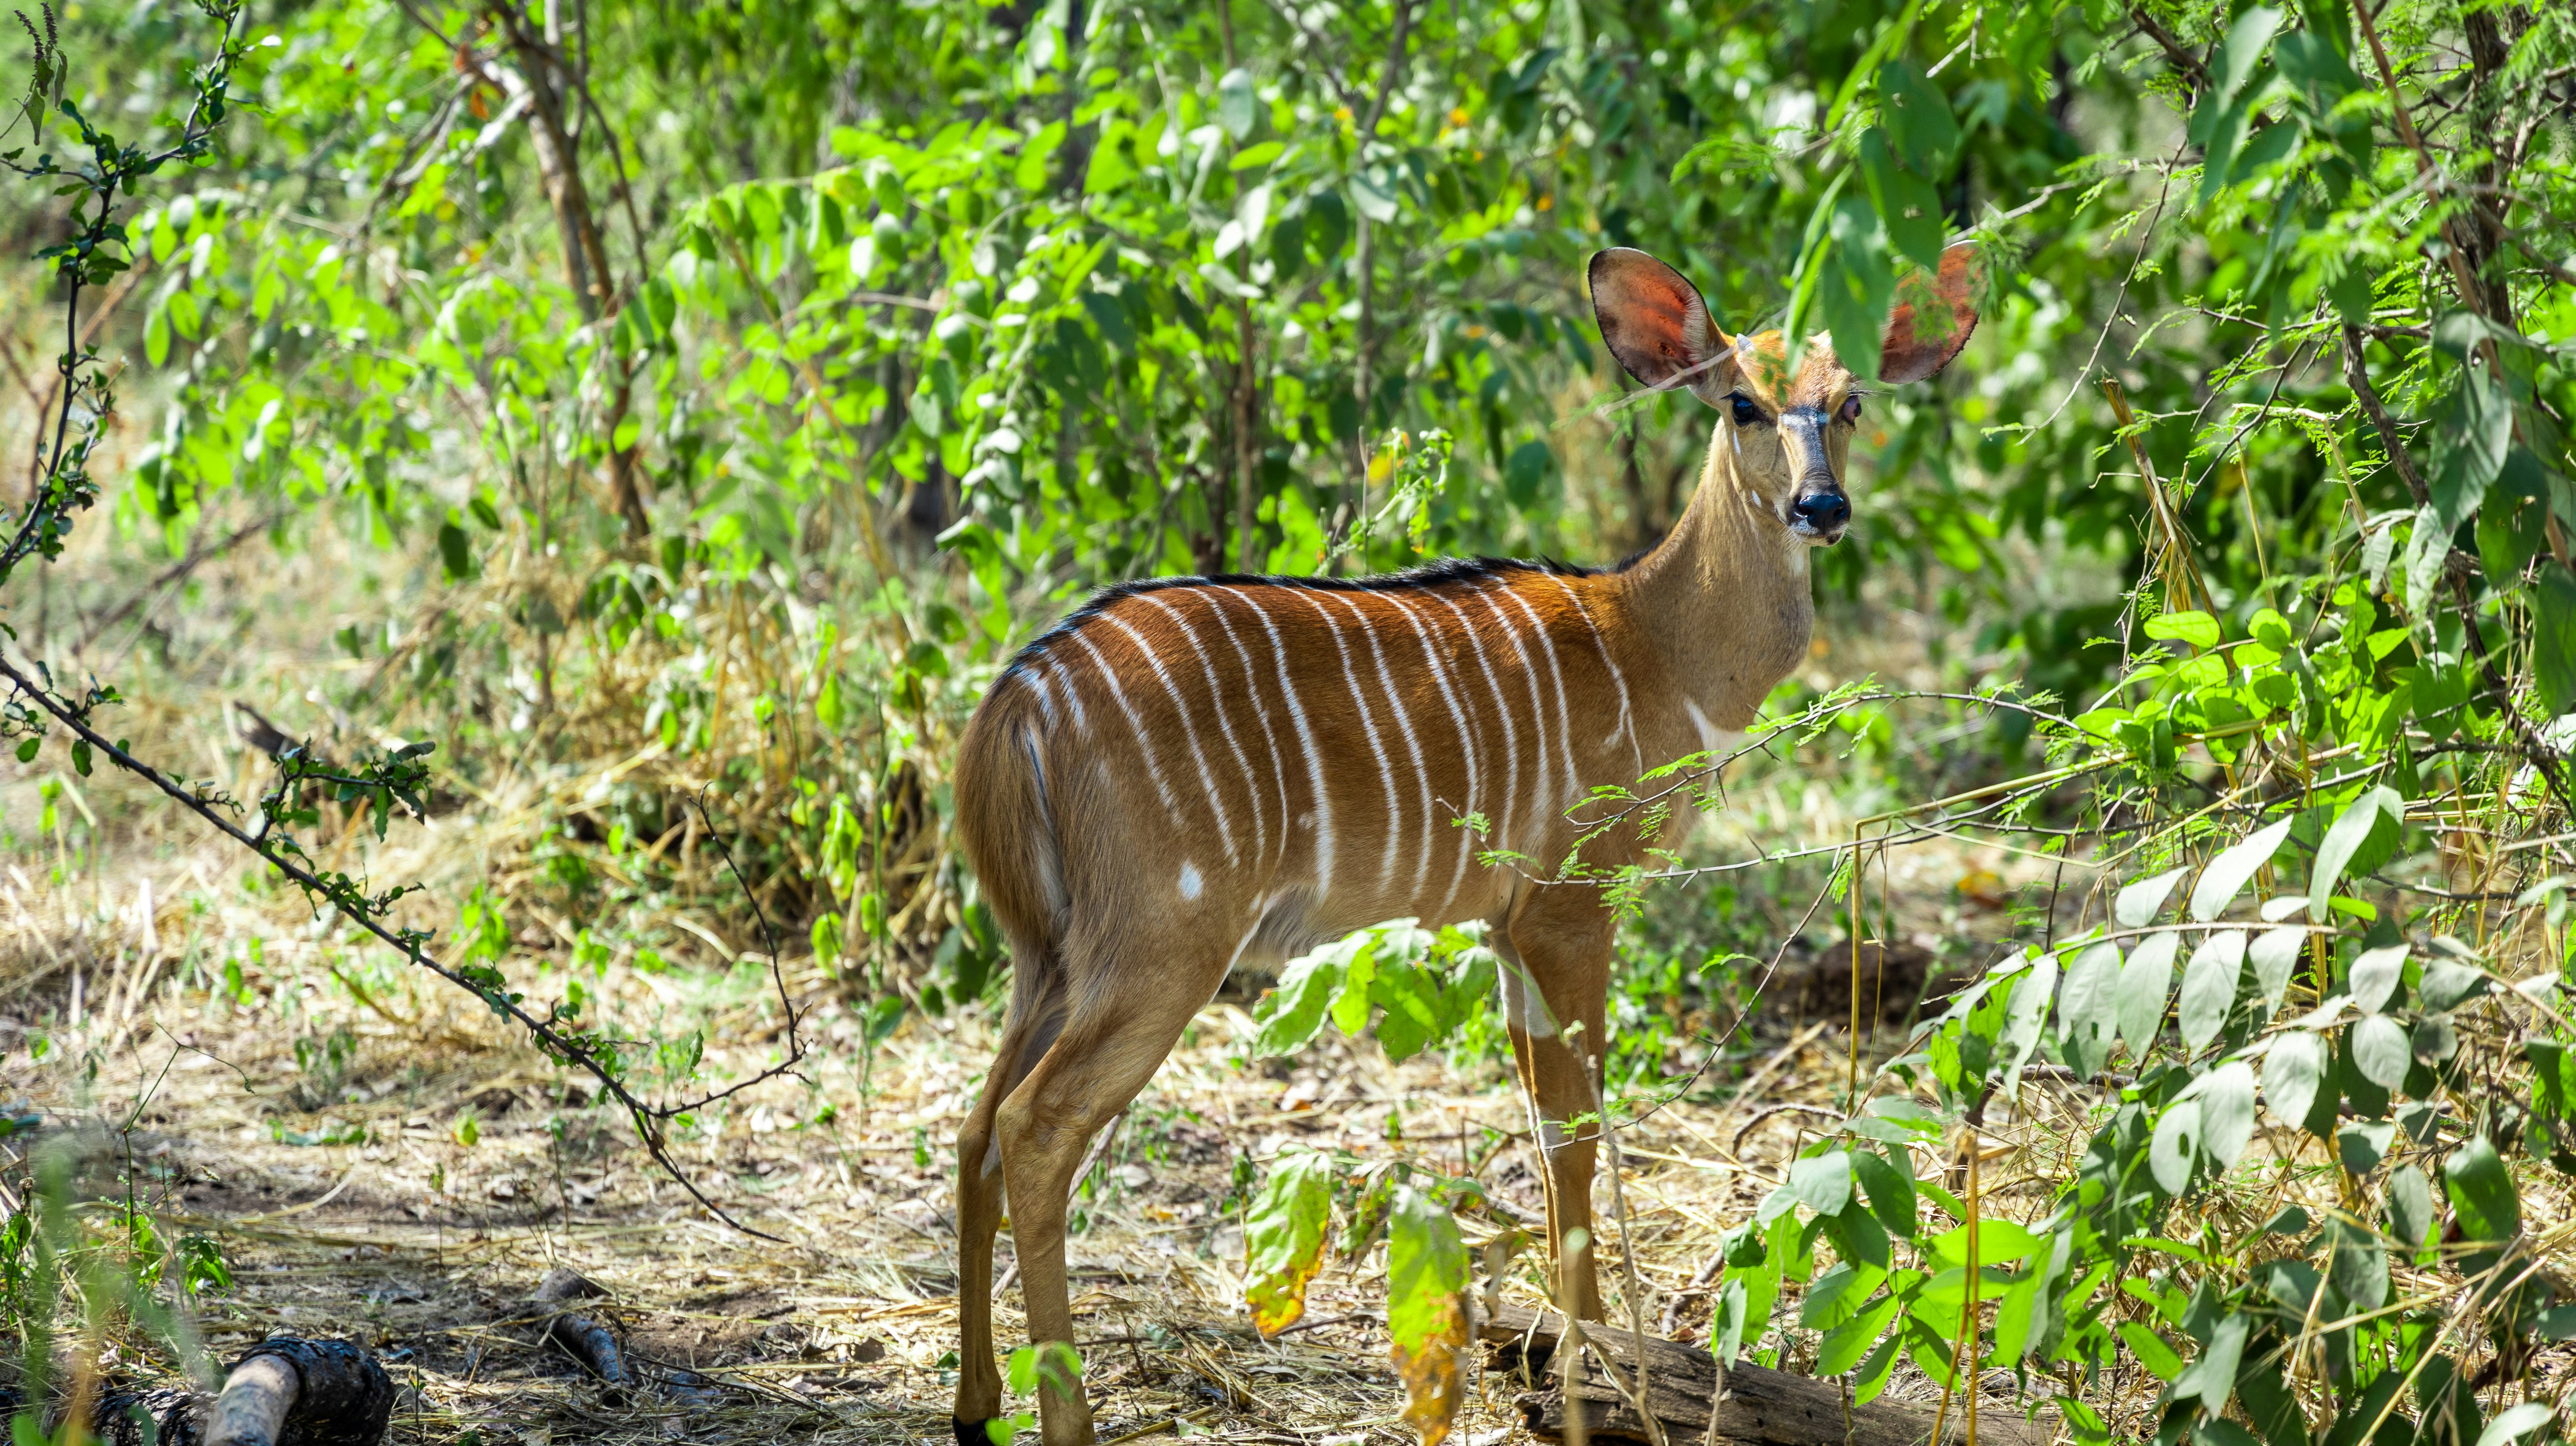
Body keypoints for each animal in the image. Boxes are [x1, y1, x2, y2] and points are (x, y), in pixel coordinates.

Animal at [946, 241, 1981, 1446]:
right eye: (1742, 402)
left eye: (1850, 401)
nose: (1820, 504)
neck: (1654, 642)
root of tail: (1017, 698)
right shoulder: (1570, 903)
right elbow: (1574, 1125)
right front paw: (1595, 1384)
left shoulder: (1502, 925)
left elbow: (1544, 1130)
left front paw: (1578, 1359)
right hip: (1162, 942)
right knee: (1035, 1124)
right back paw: (1061, 1417)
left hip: (1047, 951)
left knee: (977, 1124)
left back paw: (974, 1406)